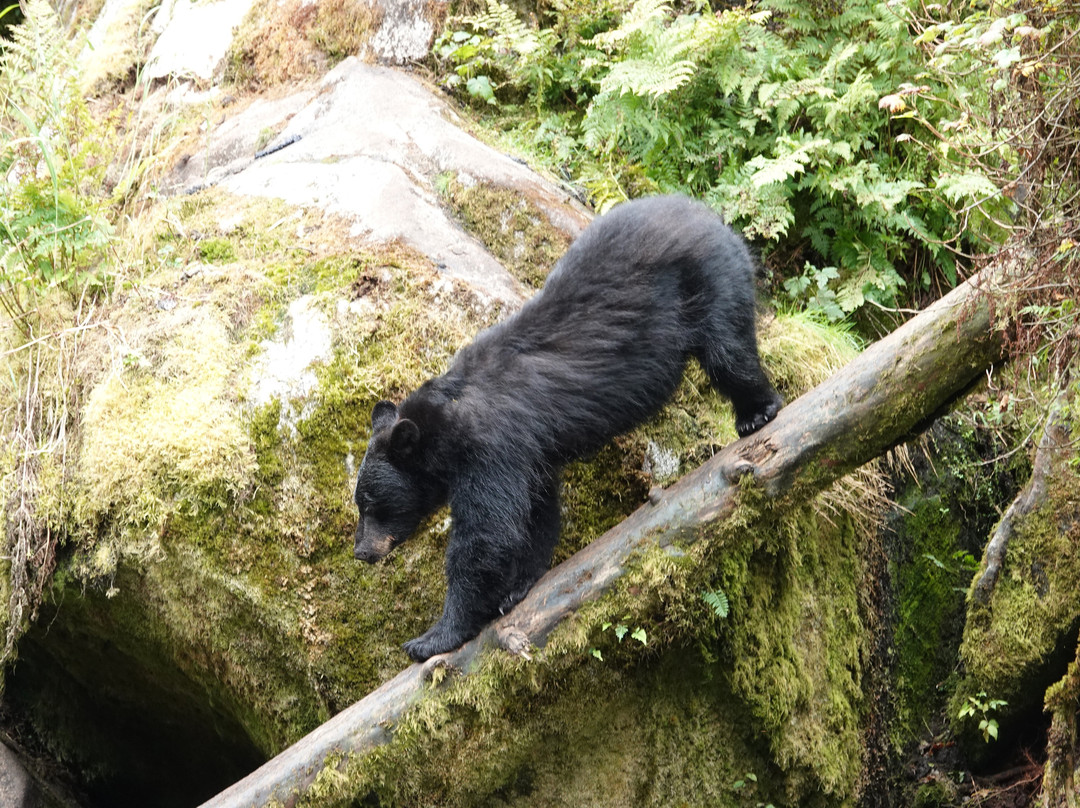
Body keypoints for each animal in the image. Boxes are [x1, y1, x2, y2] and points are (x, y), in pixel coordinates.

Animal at [354, 194, 783, 662]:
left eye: (371, 503)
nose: (361, 552)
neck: (447, 421)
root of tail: (708, 214)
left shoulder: (492, 447)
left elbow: (486, 537)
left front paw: (433, 637)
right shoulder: (528, 457)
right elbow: (536, 514)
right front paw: (516, 588)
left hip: (708, 280)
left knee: (729, 351)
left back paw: (758, 412)